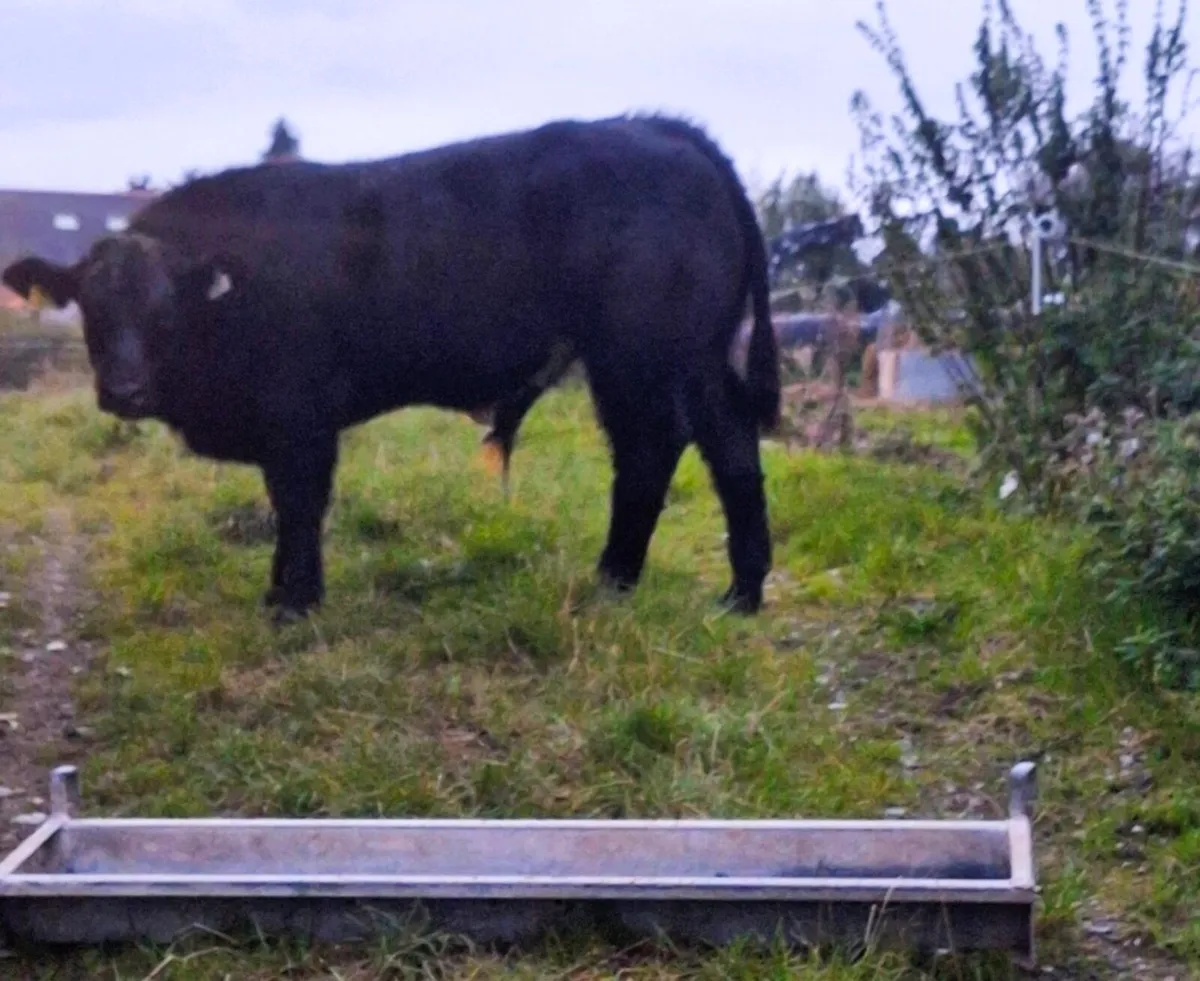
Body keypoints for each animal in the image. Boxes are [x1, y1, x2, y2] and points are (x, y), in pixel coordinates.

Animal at [2, 113, 782, 623]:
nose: (124, 390)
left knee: (672, 451)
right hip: (682, 359)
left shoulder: (300, 418)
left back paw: (645, 584)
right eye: (91, 309)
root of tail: (659, 128)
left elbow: (299, 503)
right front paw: (281, 591)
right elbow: (285, 505)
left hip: (647, 357)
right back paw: (711, 592)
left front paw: (294, 604)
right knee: (707, 448)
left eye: (165, 310)